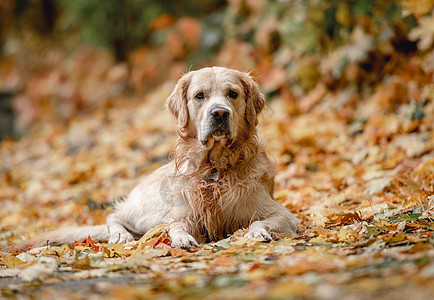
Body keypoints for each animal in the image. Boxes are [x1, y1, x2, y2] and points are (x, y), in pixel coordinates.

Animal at [12, 67, 298, 250]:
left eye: (233, 94)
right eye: (199, 96)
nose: (219, 113)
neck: (215, 168)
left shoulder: (281, 212)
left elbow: (260, 220)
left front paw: (258, 231)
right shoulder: (183, 214)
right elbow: (176, 226)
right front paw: (181, 238)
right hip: (152, 208)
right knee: (115, 215)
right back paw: (120, 235)